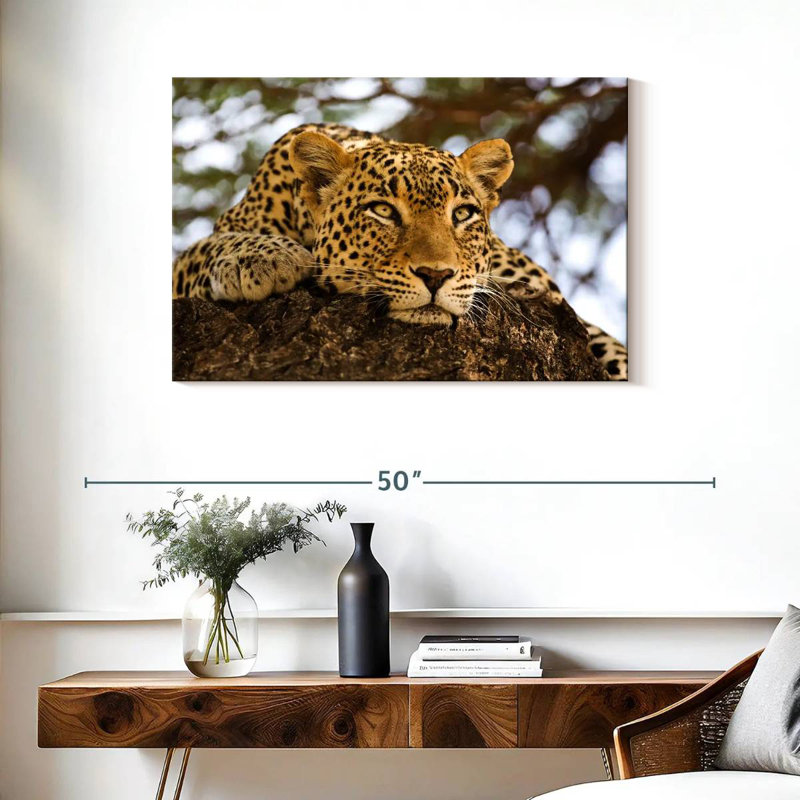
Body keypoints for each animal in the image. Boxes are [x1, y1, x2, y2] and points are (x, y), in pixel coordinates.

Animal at [173, 123, 628, 379]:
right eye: (383, 211)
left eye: (462, 213)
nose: (436, 275)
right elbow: (200, 249)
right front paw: (261, 257)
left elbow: (611, 347)